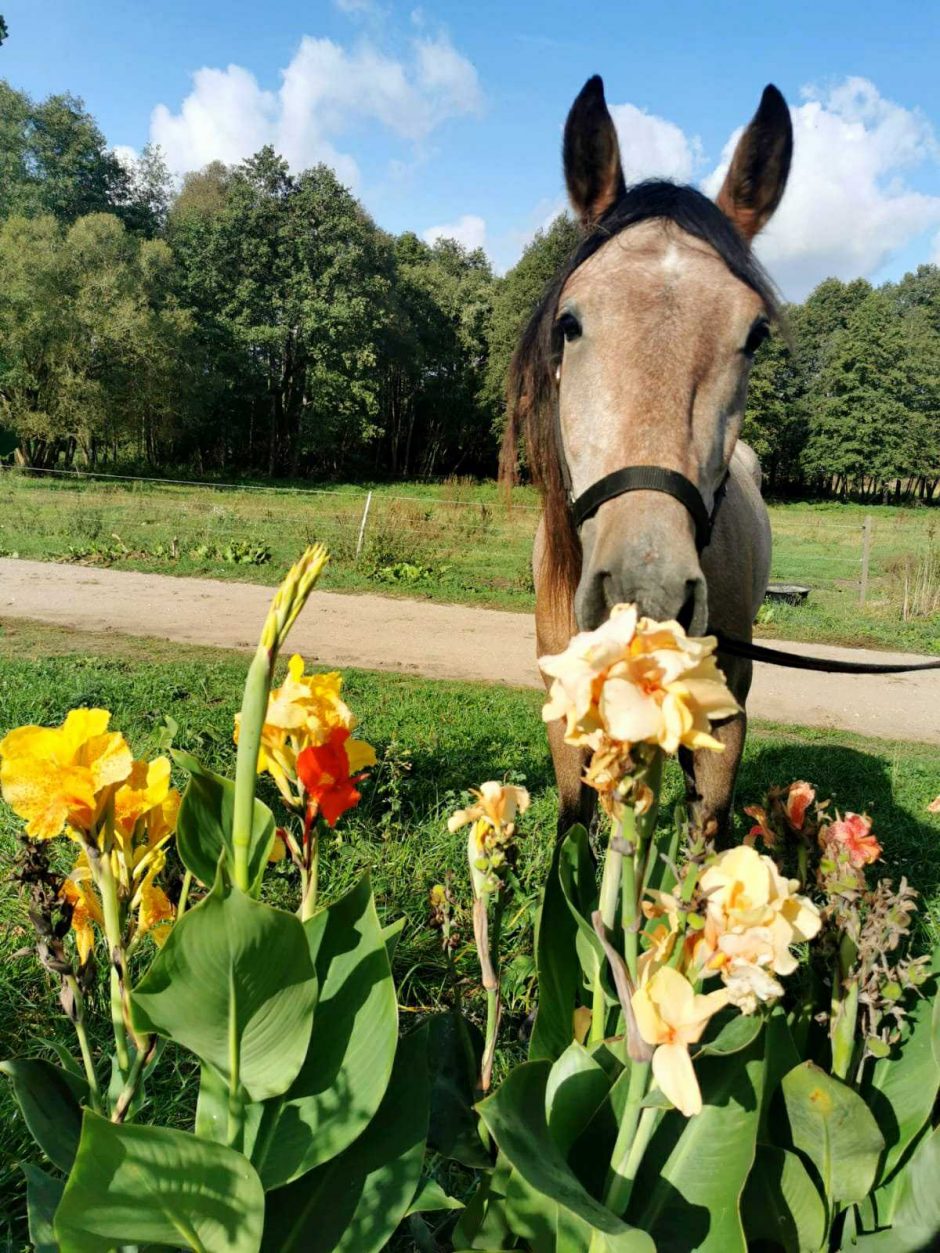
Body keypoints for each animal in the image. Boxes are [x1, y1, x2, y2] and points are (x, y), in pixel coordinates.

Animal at [501, 78, 797, 842]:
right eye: (569, 323)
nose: (647, 593)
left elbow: (701, 836)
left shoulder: (725, 714)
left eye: (754, 336)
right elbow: (576, 822)